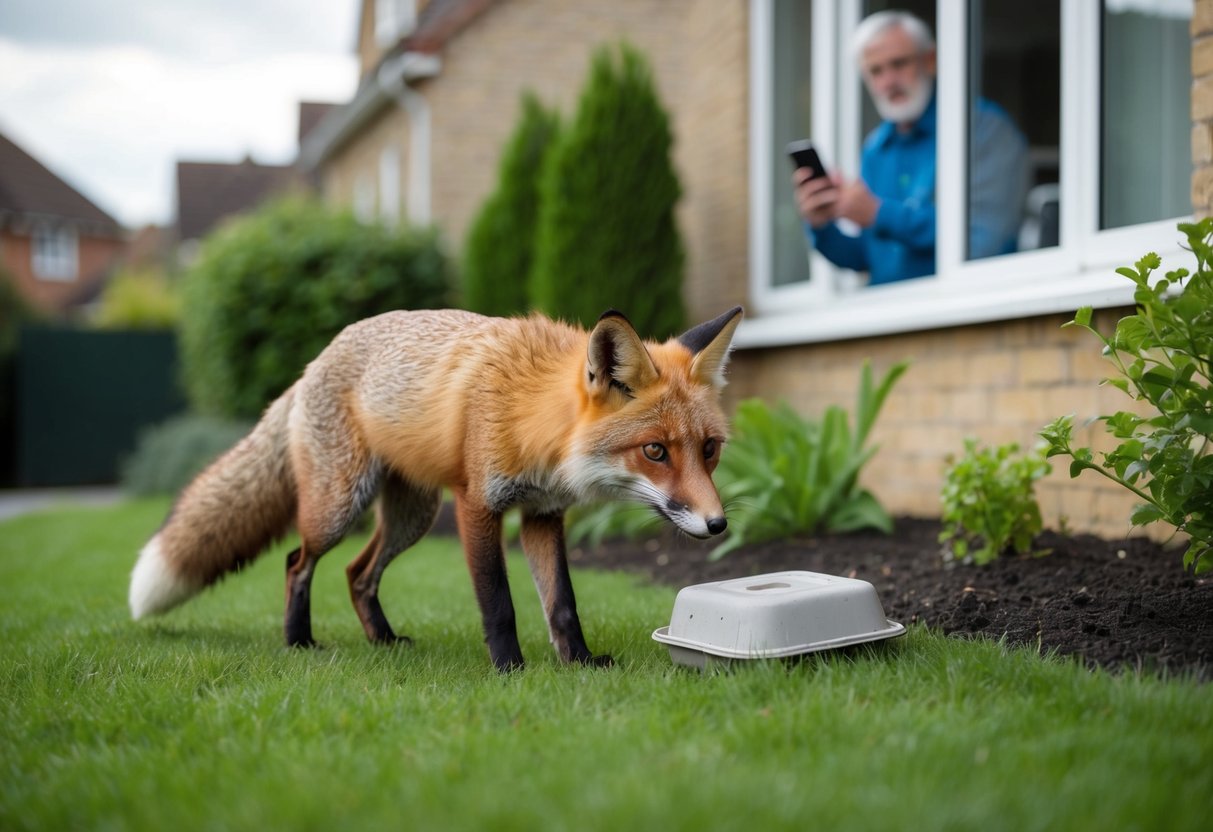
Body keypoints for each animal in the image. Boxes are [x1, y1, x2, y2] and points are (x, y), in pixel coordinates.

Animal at [129, 305, 743, 671]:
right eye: (655, 451)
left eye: (710, 449)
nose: (718, 525)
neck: (533, 416)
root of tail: (313, 363)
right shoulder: (478, 505)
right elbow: (498, 602)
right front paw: (510, 669)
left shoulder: (542, 515)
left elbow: (563, 603)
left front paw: (580, 663)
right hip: (339, 506)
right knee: (296, 562)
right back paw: (298, 640)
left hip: (413, 516)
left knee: (357, 573)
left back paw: (382, 640)